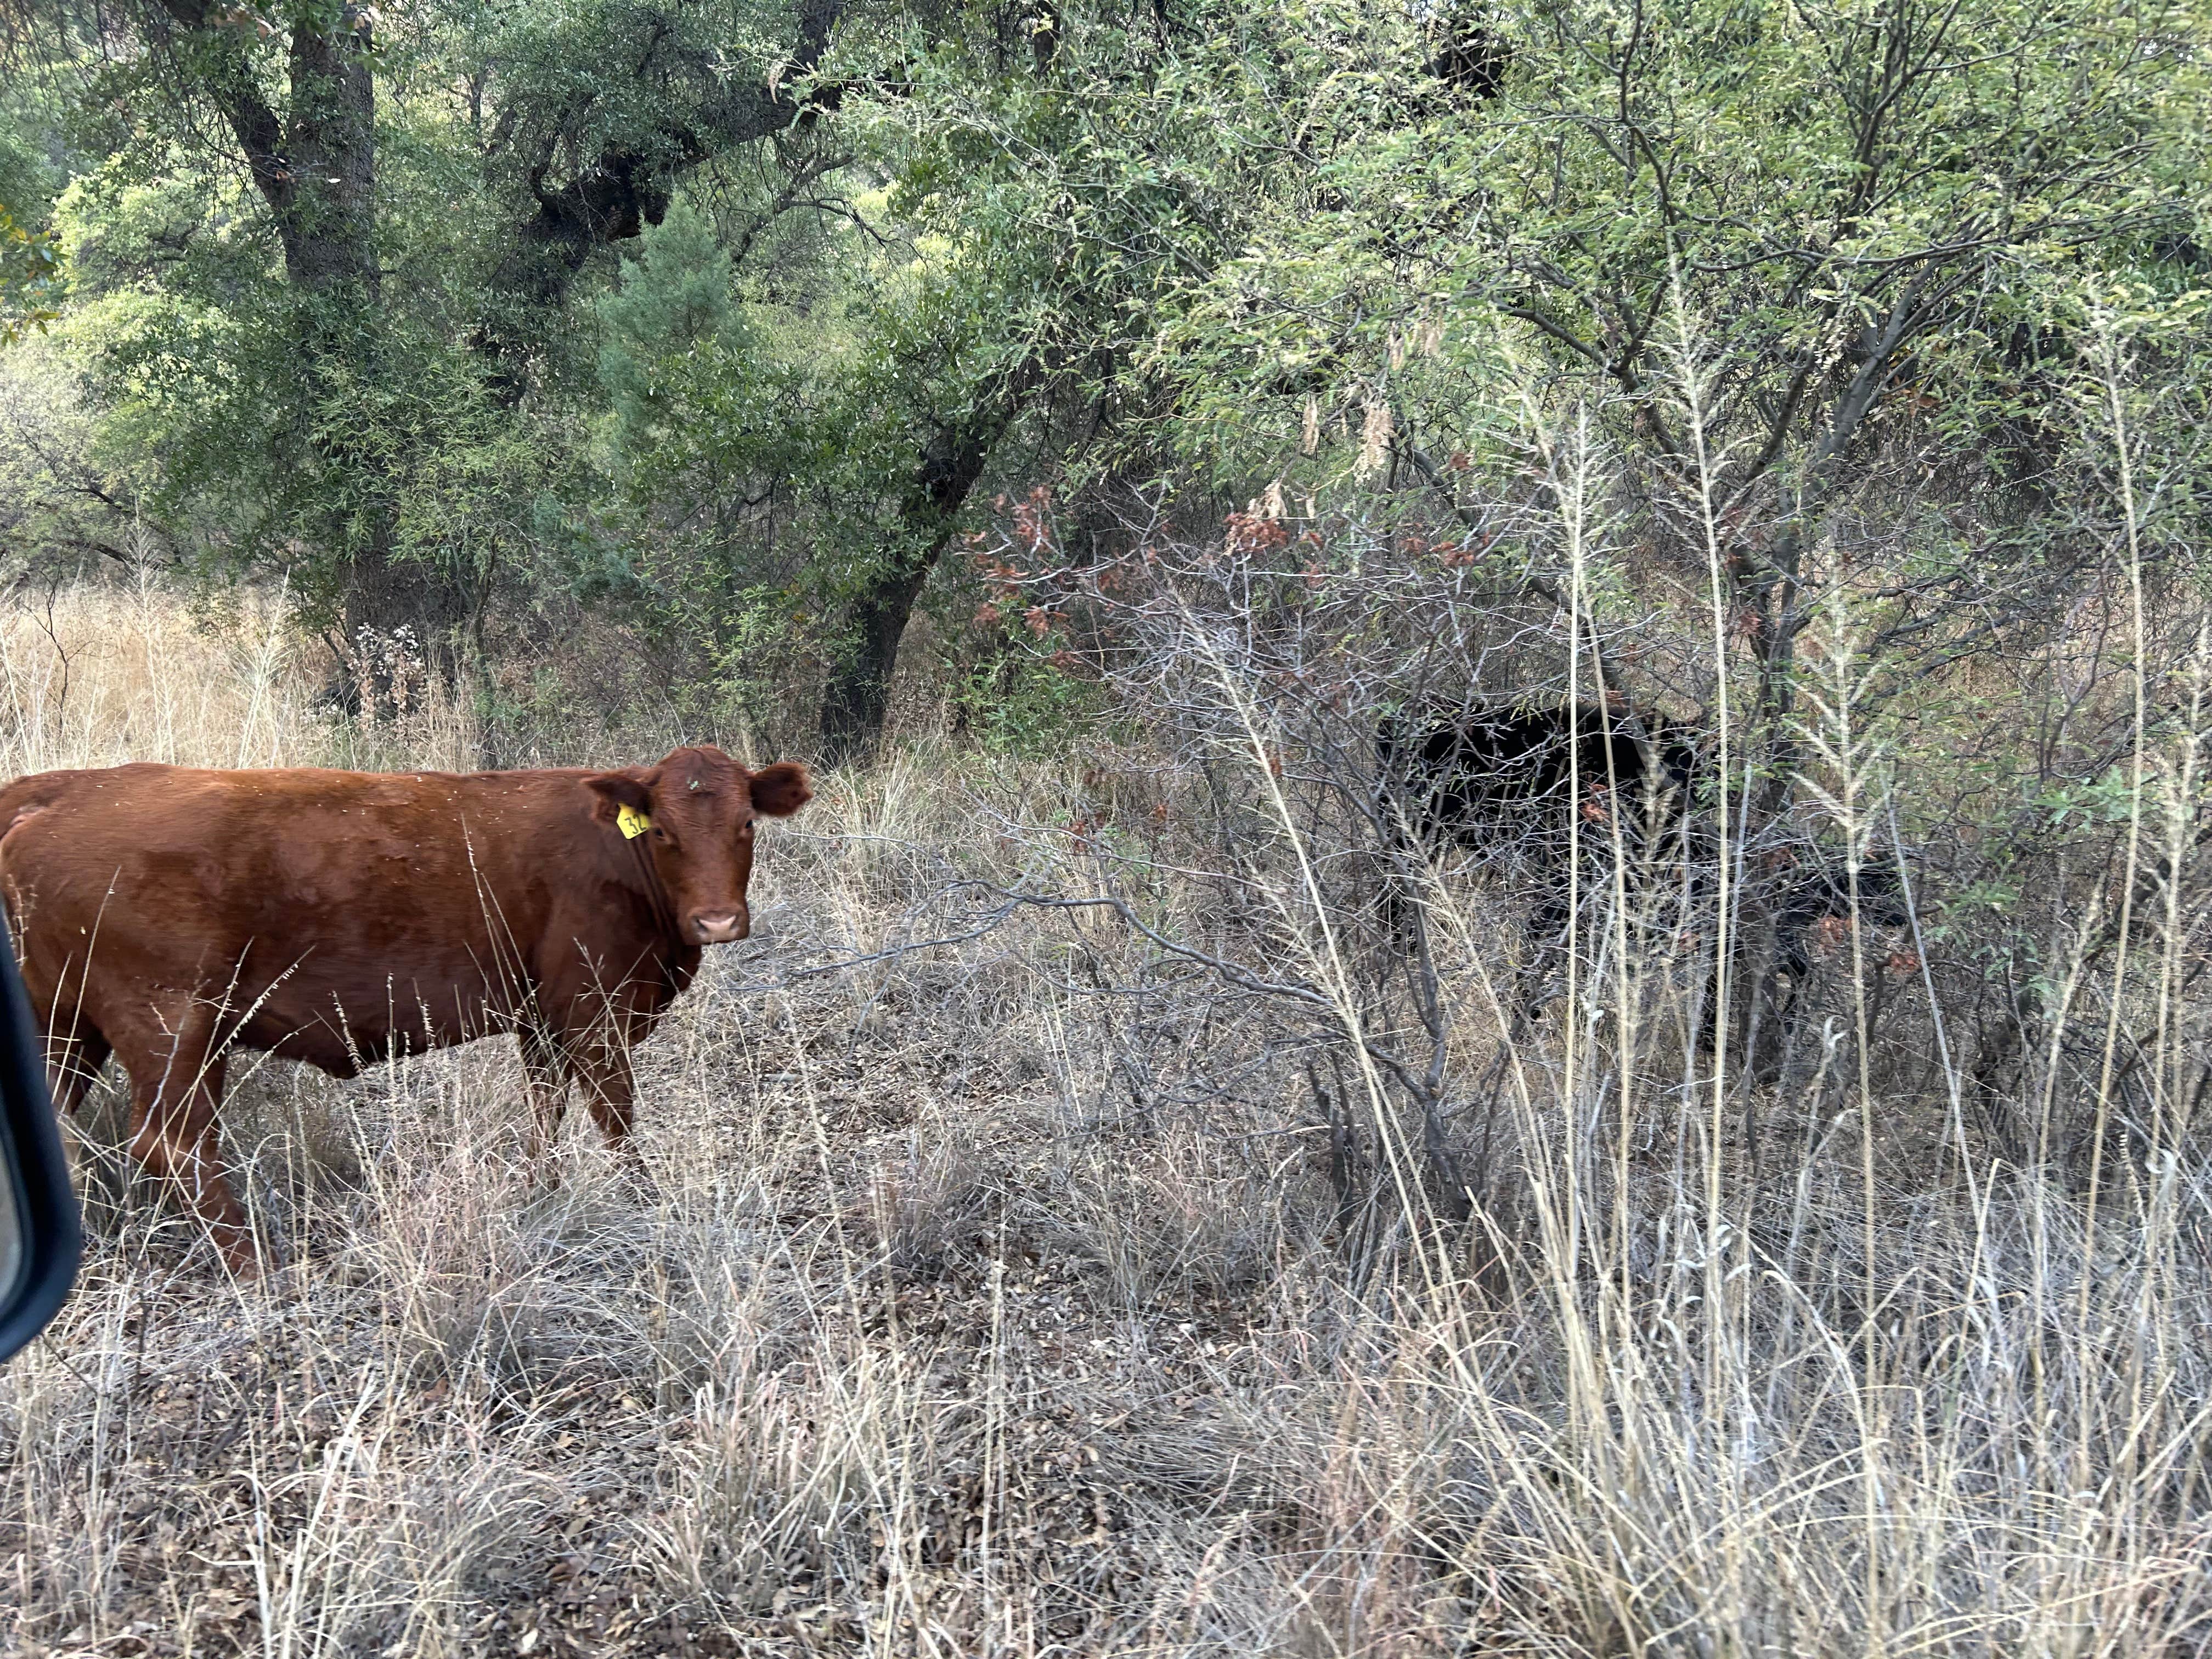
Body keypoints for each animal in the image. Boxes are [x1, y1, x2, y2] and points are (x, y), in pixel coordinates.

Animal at [0, 747, 814, 1283]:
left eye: (746, 824)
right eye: (665, 832)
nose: (718, 921)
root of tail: (58, 792)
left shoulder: (542, 1020)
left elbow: (544, 1109)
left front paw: (539, 1194)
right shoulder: (595, 1009)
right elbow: (614, 1115)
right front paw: (643, 1203)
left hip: (64, 1025)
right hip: (173, 1027)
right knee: (172, 1143)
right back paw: (259, 1267)